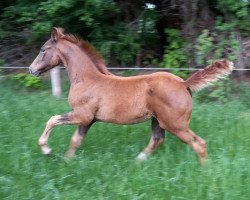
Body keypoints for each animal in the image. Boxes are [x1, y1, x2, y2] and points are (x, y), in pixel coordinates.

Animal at [29, 27, 234, 165]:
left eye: (43, 49)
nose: (31, 69)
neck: (86, 79)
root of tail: (183, 83)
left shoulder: (82, 115)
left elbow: (52, 119)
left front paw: (47, 150)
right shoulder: (88, 120)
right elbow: (75, 141)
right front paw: (66, 163)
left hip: (175, 124)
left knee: (199, 143)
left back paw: (205, 171)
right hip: (157, 120)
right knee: (157, 139)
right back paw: (137, 161)